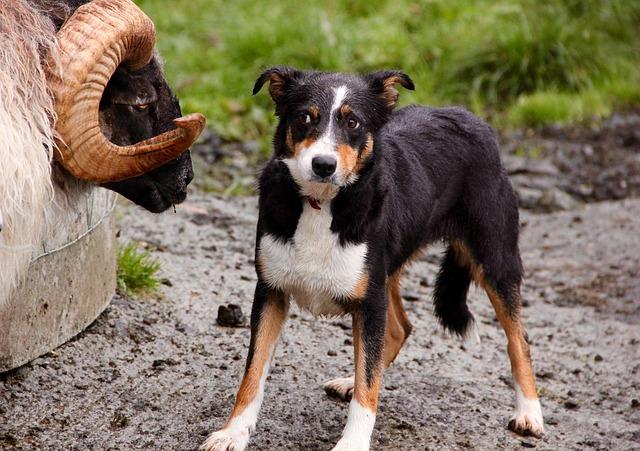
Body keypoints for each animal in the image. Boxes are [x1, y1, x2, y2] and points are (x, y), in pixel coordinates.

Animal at [202, 67, 544, 451]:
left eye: (353, 122)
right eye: (305, 117)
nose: (323, 165)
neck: (322, 203)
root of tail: (471, 118)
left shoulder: (369, 302)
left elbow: (368, 389)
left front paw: (352, 443)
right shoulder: (271, 292)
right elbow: (253, 374)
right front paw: (233, 433)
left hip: (494, 258)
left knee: (519, 339)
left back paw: (530, 413)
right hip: (386, 270)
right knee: (398, 330)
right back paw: (351, 380)